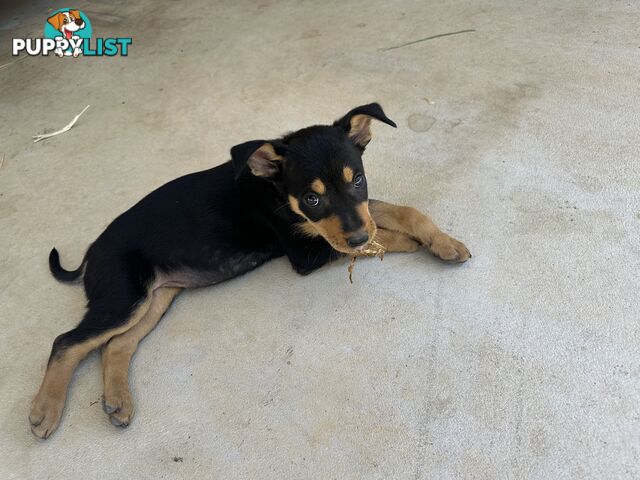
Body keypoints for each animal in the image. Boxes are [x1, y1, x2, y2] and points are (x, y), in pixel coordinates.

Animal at [30, 104, 470, 438]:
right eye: (311, 198)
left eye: (358, 178)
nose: (358, 237)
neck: (273, 189)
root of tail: (92, 251)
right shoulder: (306, 251)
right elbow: (377, 235)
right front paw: (410, 244)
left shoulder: (351, 219)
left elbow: (398, 211)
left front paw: (443, 242)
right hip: (125, 296)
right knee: (67, 341)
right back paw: (44, 411)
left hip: (155, 296)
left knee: (117, 344)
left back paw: (118, 402)